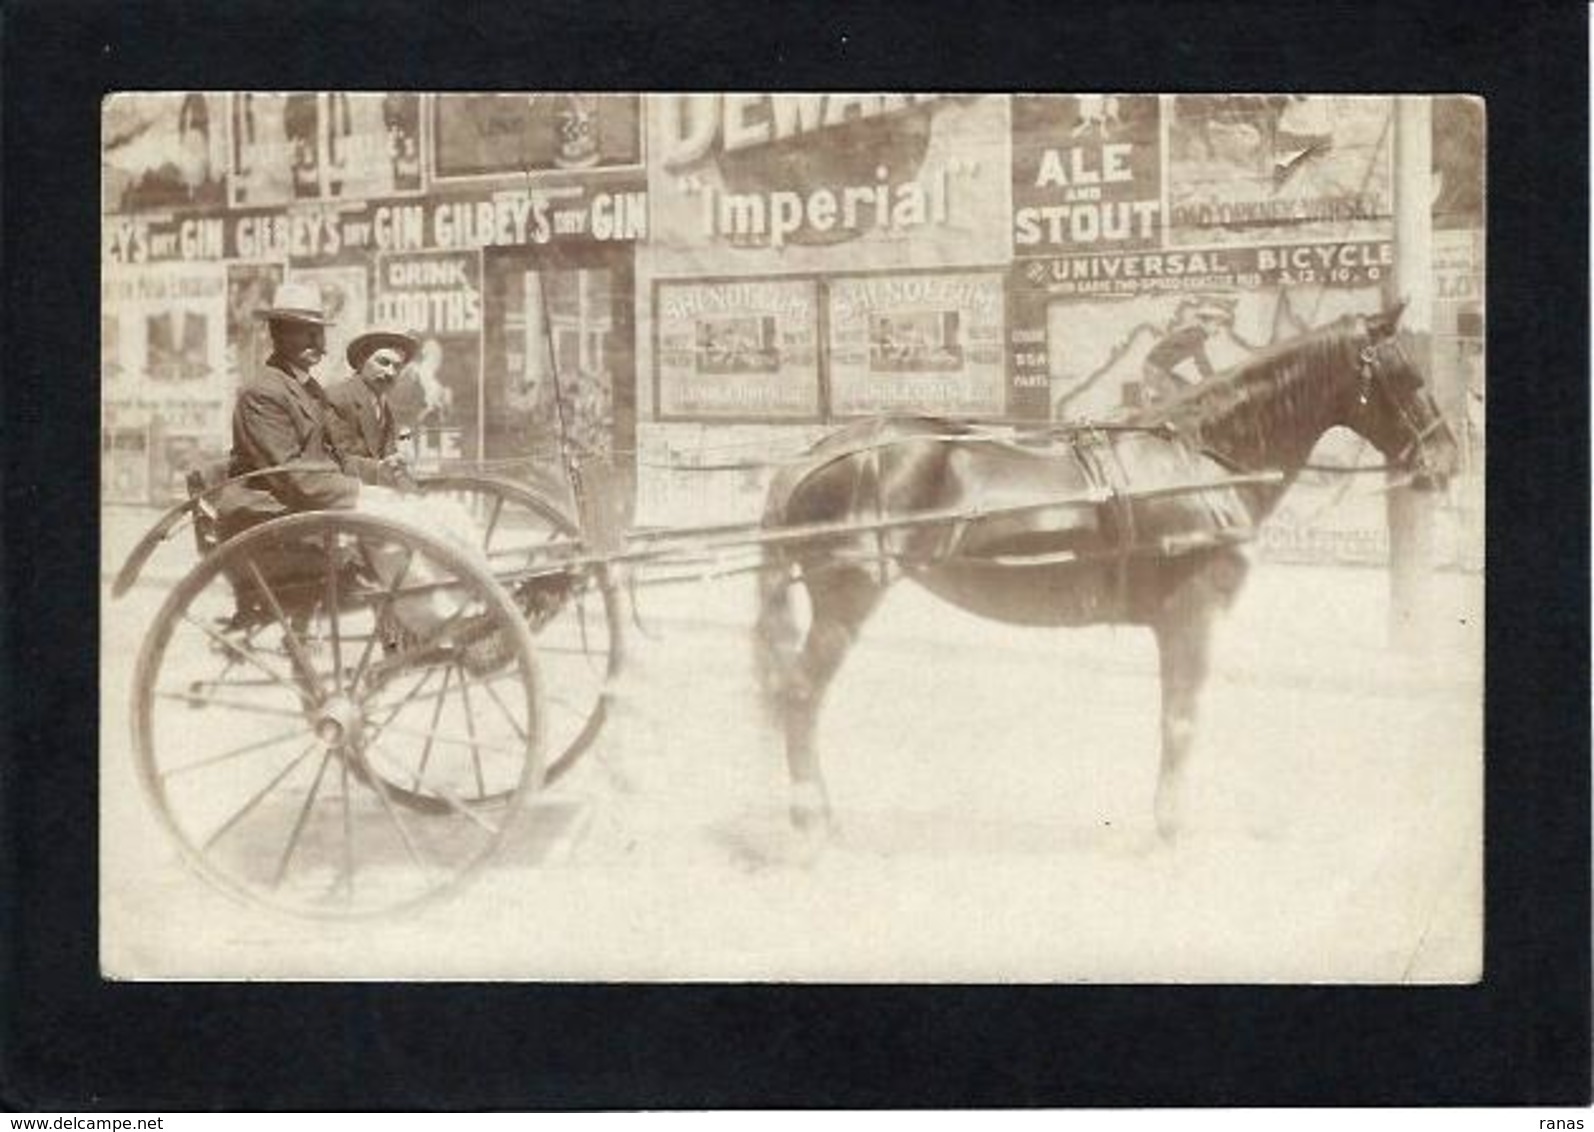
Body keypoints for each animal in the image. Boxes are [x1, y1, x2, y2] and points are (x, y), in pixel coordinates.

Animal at [752, 304, 1460, 841]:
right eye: (1406, 375)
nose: (1448, 459)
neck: (1198, 460)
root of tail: (810, 458)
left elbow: (1176, 718)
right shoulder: (1190, 615)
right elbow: (1180, 721)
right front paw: (1169, 829)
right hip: (846, 598)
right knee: (800, 695)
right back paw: (810, 821)